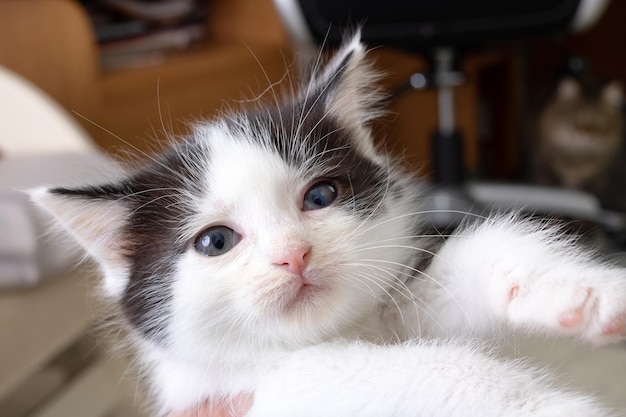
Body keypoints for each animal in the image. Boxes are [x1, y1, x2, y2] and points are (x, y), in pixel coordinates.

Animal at [30, 36, 624, 416]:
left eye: (320, 196)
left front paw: (586, 290)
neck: (333, 332)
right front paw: (550, 407)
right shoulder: (246, 388)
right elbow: (403, 373)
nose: (293, 253)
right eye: (215, 241)